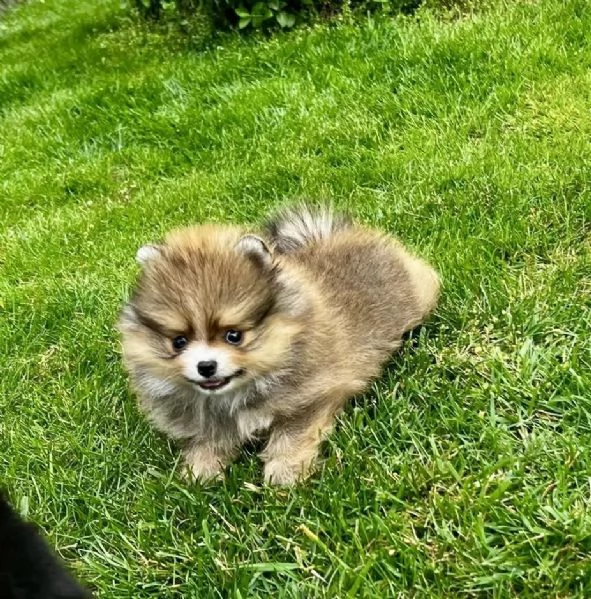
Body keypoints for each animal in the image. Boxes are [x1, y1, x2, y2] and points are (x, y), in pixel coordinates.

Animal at [119, 204, 440, 486]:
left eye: (234, 336)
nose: (206, 366)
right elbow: (208, 441)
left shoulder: (313, 394)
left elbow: (291, 436)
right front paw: (200, 472)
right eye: (179, 342)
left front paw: (284, 475)